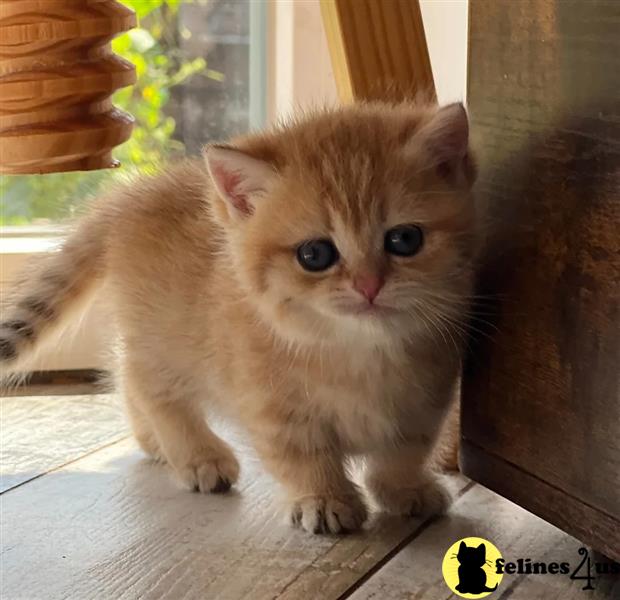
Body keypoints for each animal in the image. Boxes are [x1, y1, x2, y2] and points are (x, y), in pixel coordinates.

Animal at [0, 102, 478, 536]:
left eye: (404, 240)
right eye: (315, 254)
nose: (369, 285)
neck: (359, 351)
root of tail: (126, 199)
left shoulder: (425, 400)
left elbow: (403, 452)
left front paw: (403, 488)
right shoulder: (273, 408)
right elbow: (302, 456)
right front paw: (323, 498)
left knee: (127, 381)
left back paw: (155, 443)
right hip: (162, 341)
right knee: (149, 387)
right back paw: (198, 456)